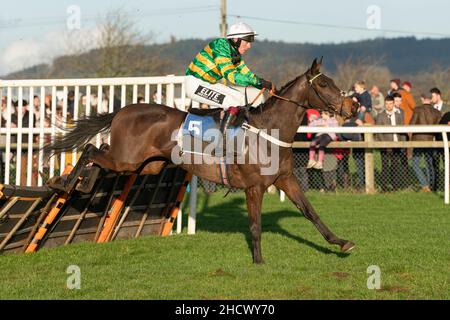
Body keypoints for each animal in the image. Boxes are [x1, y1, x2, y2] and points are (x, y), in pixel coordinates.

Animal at [44, 58, 356, 264]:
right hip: (126, 160)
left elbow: (310, 212)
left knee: (99, 153)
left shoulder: (285, 179)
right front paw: (258, 261)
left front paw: (340, 243)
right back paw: (63, 182)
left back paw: (82, 184)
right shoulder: (253, 187)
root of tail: (122, 110)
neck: (268, 130)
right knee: (90, 150)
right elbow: (255, 226)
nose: (351, 106)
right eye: (324, 83)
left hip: (146, 164)